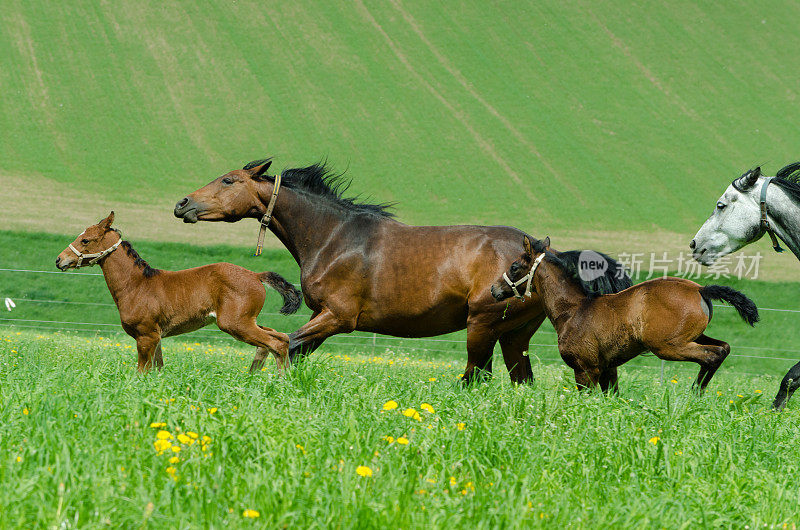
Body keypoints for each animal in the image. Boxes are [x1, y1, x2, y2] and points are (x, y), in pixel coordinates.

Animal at [54, 211, 300, 372]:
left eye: (86, 240)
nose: (59, 260)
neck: (136, 285)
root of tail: (256, 275)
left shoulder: (146, 336)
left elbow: (142, 372)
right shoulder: (156, 337)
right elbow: (157, 370)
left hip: (236, 323)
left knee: (276, 342)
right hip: (247, 321)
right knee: (279, 337)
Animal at [175, 159, 632, 382]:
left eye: (228, 180)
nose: (183, 204)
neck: (334, 237)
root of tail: (540, 253)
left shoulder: (339, 317)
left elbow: (284, 343)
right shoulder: (322, 316)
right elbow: (291, 348)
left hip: (482, 324)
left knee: (475, 376)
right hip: (514, 332)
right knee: (519, 379)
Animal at [490, 234, 760, 388]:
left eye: (514, 266)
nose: (494, 289)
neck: (573, 310)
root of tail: (701, 289)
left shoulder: (585, 370)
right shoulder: (608, 369)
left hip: (669, 346)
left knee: (712, 356)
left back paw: (693, 395)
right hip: (693, 337)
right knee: (723, 348)